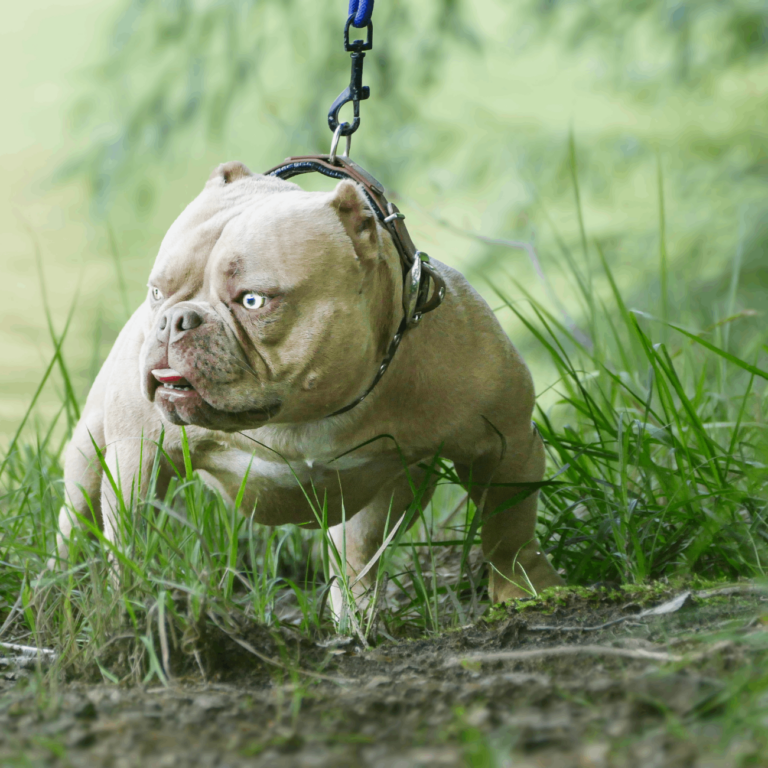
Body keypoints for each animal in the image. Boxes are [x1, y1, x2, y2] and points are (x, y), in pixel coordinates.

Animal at [52, 160, 560, 612]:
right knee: (76, 521)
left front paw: (524, 590)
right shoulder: (137, 454)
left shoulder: (505, 443)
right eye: (157, 291)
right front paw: (127, 604)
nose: (172, 321)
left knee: (357, 562)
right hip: (89, 455)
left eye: (253, 301)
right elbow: (128, 540)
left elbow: (508, 531)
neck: (305, 414)